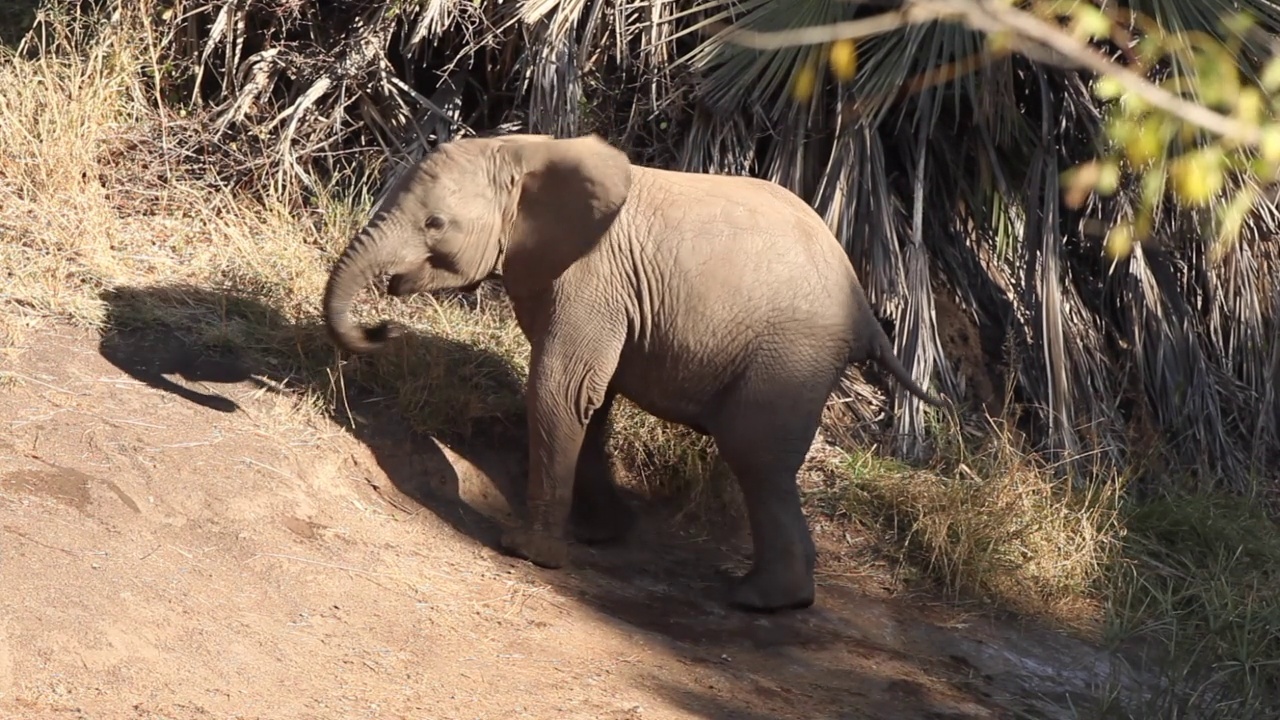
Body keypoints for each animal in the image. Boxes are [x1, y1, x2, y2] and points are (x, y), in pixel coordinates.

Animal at [325, 131, 947, 607]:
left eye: (435, 223)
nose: (384, 328)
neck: (524, 151)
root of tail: (866, 311)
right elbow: (590, 398)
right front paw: (599, 536)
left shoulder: (589, 276)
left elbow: (560, 387)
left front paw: (527, 552)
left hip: (793, 351)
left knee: (756, 454)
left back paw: (760, 600)